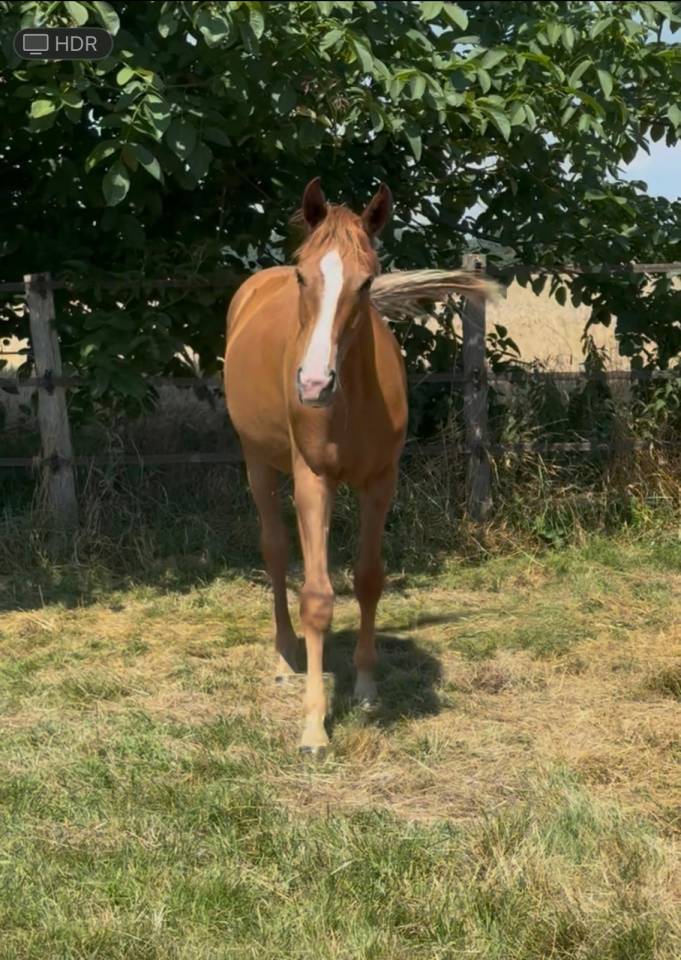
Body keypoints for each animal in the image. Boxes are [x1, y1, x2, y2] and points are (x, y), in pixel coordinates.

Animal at [224, 177, 493, 756]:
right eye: (303, 274)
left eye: (367, 282)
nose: (313, 385)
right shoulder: (313, 482)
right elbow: (317, 597)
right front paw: (314, 727)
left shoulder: (379, 482)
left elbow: (369, 579)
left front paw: (367, 688)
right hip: (259, 463)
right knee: (275, 552)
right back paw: (285, 658)